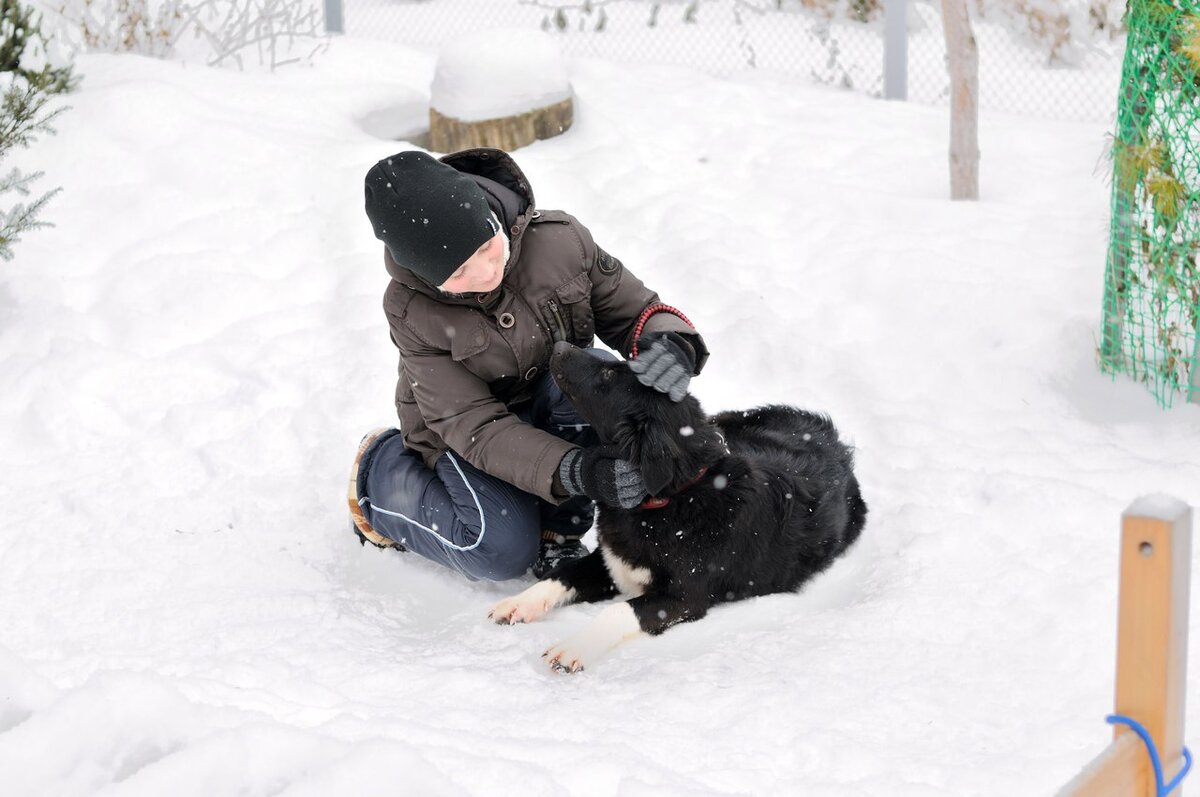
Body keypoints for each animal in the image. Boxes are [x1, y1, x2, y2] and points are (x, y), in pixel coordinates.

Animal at [492, 343, 868, 672]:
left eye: (610, 374)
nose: (558, 345)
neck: (670, 499)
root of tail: (832, 437)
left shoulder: (684, 598)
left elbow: (616, 612)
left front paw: (574, 647)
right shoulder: (611, 562)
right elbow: (563, 574)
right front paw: (520, 602)